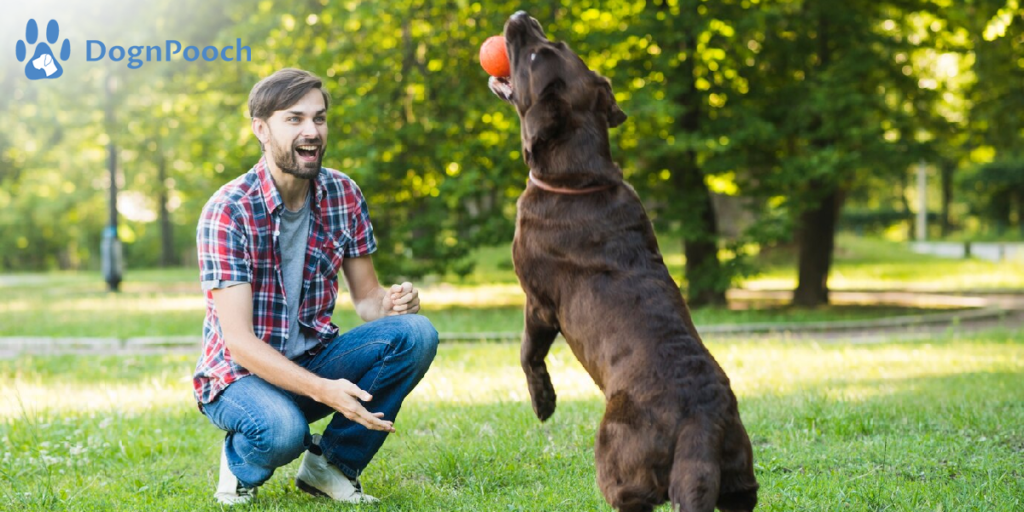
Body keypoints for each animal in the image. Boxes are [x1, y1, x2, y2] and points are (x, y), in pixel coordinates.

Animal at [487, 11, 761, 512]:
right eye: (554, 42)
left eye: (535, 54)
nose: (520, 16)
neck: (578, 178)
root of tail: (702, 420)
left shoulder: (538, 303)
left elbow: (528, 353)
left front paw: (543, 403)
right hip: (739, 478)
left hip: (616, 461)